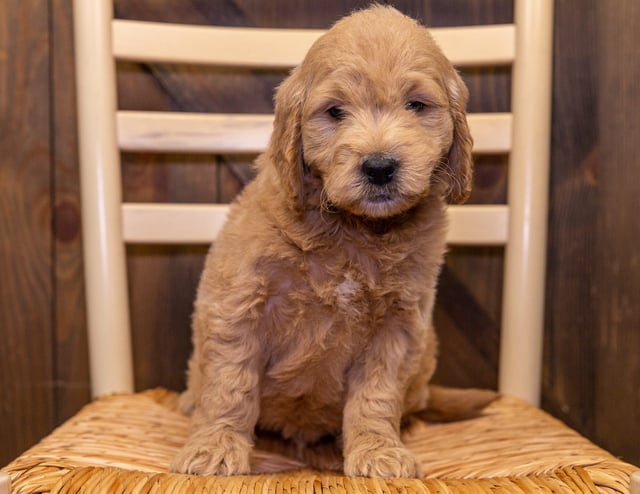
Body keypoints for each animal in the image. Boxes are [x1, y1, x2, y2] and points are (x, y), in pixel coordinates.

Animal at [172, 4, 478, 478]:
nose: (379, 166)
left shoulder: (398, 326)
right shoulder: (238, 305)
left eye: (416, 105)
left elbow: (376, 395)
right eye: (335, 112)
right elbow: (229, 384)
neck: (353, 231)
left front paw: (378, 449)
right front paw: (215, 447)